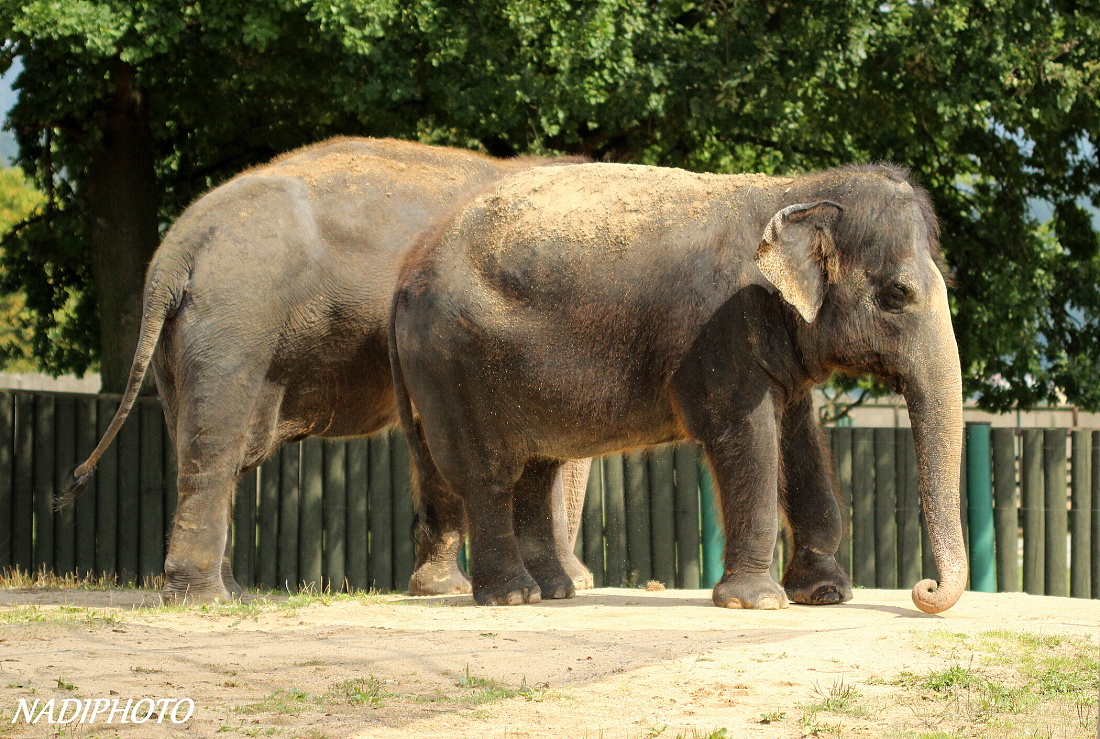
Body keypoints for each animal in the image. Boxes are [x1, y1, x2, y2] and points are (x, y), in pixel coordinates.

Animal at [60, 135, 594, 602]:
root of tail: (174, 254)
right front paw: (567, 585)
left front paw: (443, 589)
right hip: (235, 322)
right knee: (216, 450)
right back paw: (206, 600)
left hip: (185, 343)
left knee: (212, 449)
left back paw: (232, 594)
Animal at [391, 160, 968, 611]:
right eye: (897, 294)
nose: (925, 589)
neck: (796, 190)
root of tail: (407, 270)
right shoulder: (721, 330)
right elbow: (748, 440)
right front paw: (756, 602)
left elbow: (802, 443)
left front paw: (825, 595)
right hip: (453, 368)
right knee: (488, 475)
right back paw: (513, 596)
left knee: (537, 468)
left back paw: (554, 592)